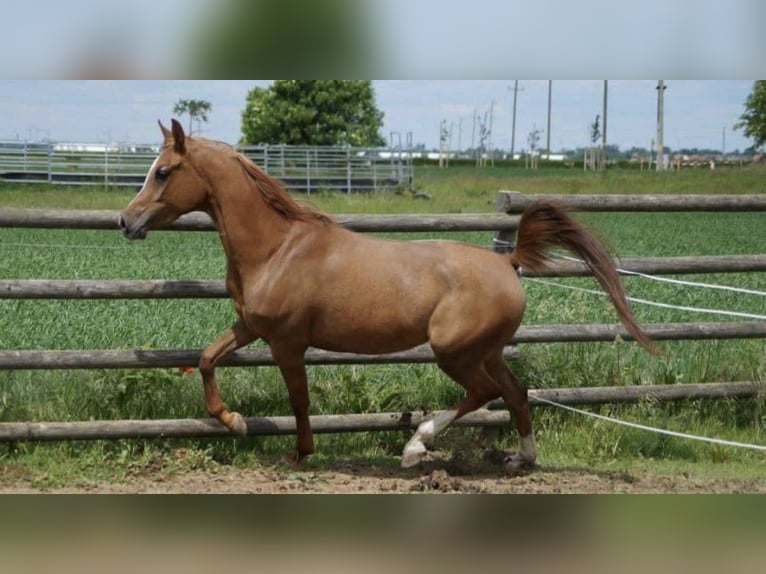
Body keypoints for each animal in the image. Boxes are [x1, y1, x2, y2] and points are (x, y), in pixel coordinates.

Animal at [119, 119, 656, 470]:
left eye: (163, 171)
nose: (125, 221)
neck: (278, 248)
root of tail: (508, 263)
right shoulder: (251, 326)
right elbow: (207, 358)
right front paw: (234, 422)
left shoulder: (288, 342)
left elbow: (299, 400)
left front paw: (298, 453)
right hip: (485, 350)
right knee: (516, 392)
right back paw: (522, 459)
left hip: (453, 350)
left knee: (483, 393)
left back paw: (416, 448)